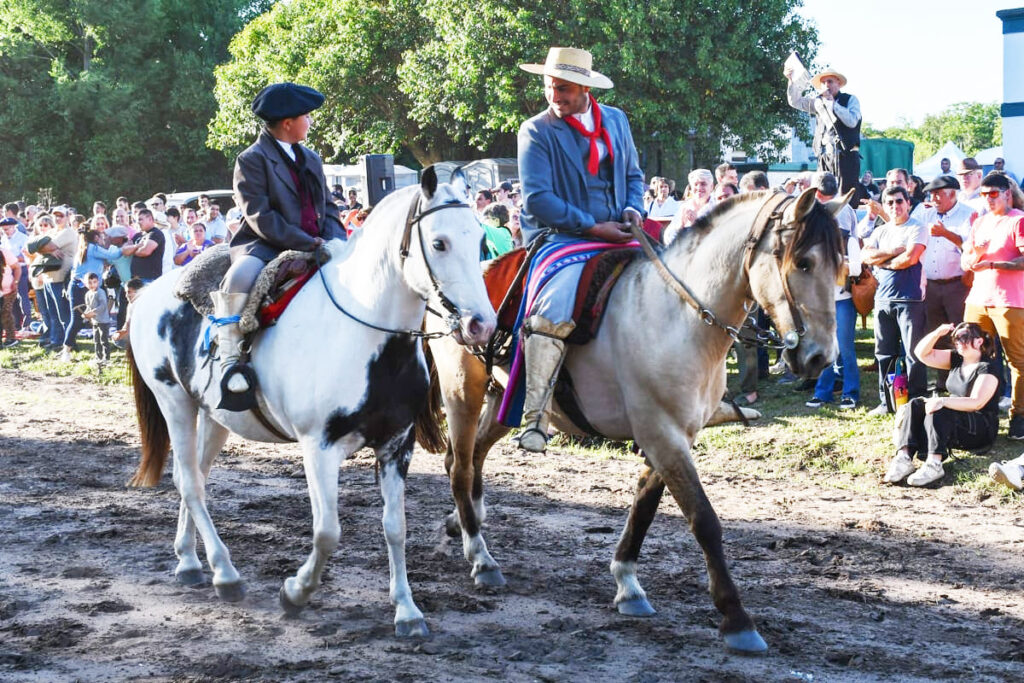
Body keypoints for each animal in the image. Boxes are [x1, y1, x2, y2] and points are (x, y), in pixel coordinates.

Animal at [125, 167, 493, 638]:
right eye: (440, 242)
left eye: (480, 239)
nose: (481, 324)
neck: (366, 336)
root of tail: (150, 292)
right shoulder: (319, 447)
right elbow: (327, 532)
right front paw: (295, 593)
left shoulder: (397, 445)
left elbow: (395, 528)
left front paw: (407, 612)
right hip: (173, 402)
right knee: (188, 482)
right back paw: (225, 574)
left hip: (214, 417)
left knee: (198, 480)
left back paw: (189, 561)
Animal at [417, 188, 847, 655]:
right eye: (803, 262)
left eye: (841, 265)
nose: (820, 358)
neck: (677, 317)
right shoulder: (662, 435)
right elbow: (704, 520)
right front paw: (736, 618)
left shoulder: (674, 436)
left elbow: (644, 507)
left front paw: (627, 584)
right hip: (463, 392)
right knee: (460, 467)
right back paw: (480, 558)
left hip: (506, 399)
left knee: (471, 457)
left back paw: (462, 526)